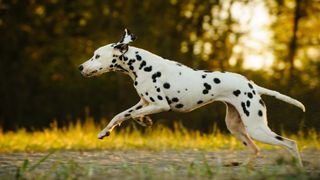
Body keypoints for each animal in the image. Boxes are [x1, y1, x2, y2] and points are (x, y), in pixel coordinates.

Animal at [78, 29, 304, 166]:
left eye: (96, 56)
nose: (80, 67)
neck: (141, 65)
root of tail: (252, 85)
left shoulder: (160, 104)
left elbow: (132, 116)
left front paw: (143, 120)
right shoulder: (143, 102)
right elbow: (120, 116)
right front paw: (105, 132)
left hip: (257, 129)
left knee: (290, 144)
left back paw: (298, 168)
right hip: (237, 128)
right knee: (256, 150)